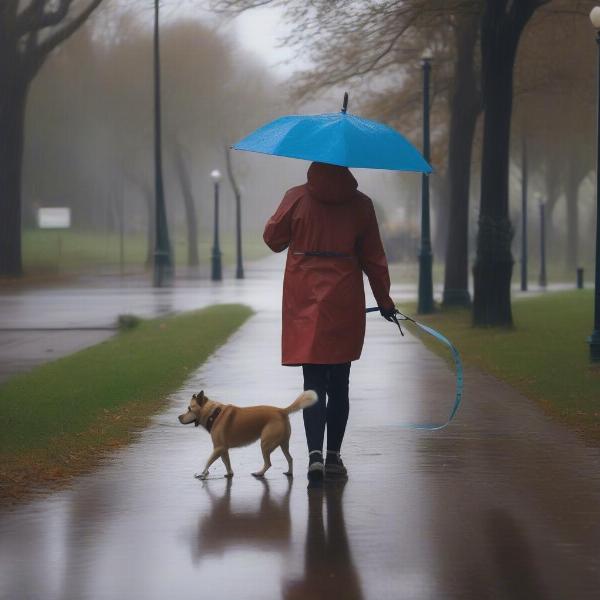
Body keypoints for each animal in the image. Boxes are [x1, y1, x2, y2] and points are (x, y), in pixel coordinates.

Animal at [179, 392, 316, 480]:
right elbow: (226, 462)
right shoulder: (223, 449)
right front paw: (229, 474)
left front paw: (202, 474)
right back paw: (289, 472)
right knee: (290, 458)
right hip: (283, 444)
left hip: (265, 444)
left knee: (268, 463)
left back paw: (259, 473)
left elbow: (208, 461)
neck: (214, 414)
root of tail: (282, 411)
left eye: (189, 409)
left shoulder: (218, 448)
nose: (179, 417)